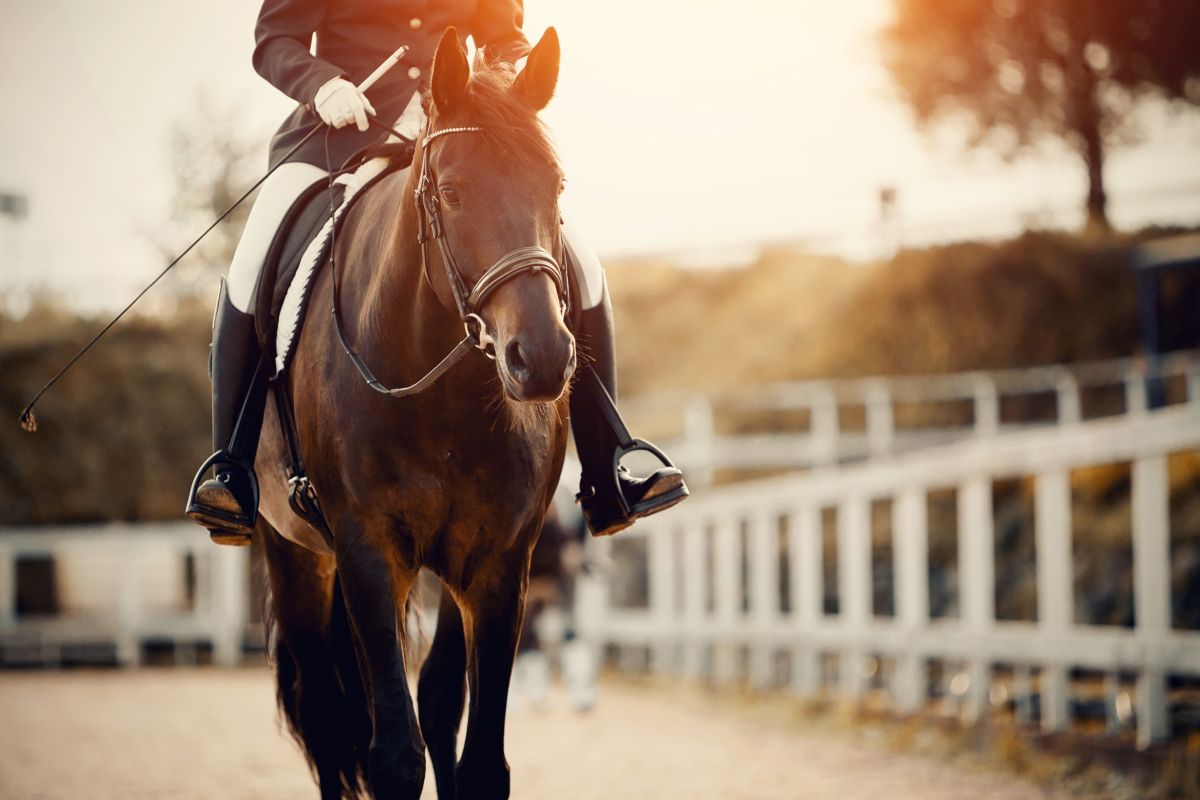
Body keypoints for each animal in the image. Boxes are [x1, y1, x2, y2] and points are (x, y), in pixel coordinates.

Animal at [254, 27, 572, 800]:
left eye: (555, 187)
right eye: (452, 193)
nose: (542, 358)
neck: (441, 399)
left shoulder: (497, 562)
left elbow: (474, 752)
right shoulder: (368, 552)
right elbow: (393, 754)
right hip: (295, 553)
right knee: (330, 717)